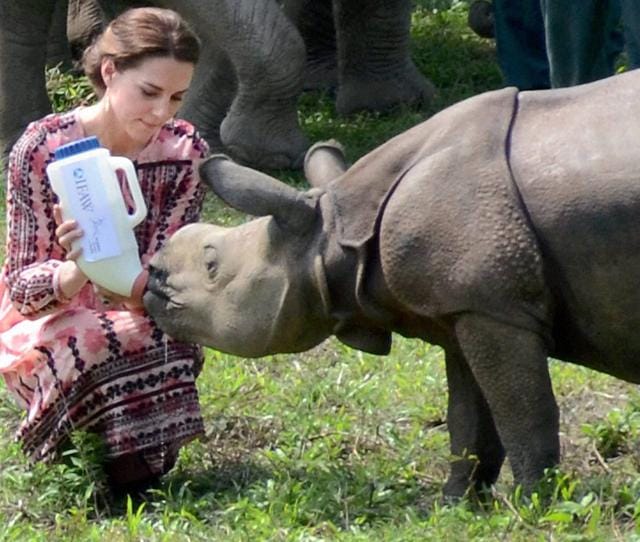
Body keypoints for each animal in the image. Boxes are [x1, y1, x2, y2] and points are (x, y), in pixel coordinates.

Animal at [143, 68, 640, 499]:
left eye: (211, 264)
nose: (152, 276)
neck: (332, 235)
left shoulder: (496, 307)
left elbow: (523, 409)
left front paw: (537, 502)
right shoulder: (462, 304)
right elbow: (468, 417)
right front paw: (456, 502)